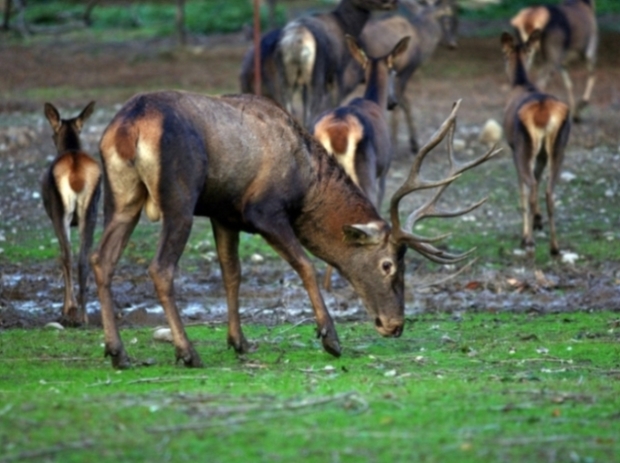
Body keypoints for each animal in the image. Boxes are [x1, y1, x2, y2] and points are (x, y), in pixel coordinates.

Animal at [41, 101, 101, 326]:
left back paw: (71, 310)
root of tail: (76, 173)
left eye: (52, 134)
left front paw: (66, 308)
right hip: (90, 211)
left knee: (66, 255)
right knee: (84, 257)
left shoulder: (53, 216)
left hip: (61, 212)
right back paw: (84, 315)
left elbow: (61, 255)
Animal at [92, 91, 496, 374]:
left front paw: (240, 342)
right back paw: (187, 352)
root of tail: (128, 128)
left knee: (101, 259)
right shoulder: (263, 210)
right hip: (179, 196)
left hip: (121, 195)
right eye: (388, 265)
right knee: (160, 267)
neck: (306, 184)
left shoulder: (224, 213)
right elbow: (305, 265)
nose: (394, 325)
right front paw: (330, 337)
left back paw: (118, 353)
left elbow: (232, 273)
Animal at [358, 0, 460, 154]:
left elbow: (404, 103)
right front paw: (398, 143)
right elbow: (400, 104)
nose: (453, 44)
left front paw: (412, 142)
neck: (422, 40)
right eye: (447, 20)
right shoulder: (406, 71)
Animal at [498, 31, 572, 258]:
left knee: (529, 187)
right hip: (559, 146)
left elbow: (523, 190)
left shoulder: (513, 148)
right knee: (549, 190)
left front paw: (528, 230)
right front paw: (538, 221)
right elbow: (539, 179)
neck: (521, 82)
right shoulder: (542, 155)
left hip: (524, 145)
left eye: (504, 55)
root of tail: (543, 112)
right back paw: (554, 247)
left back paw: (528, 240)